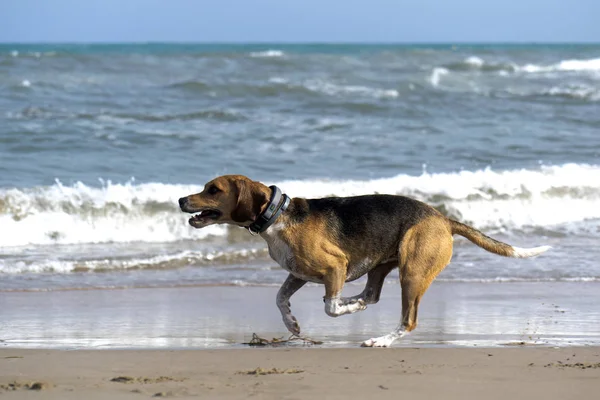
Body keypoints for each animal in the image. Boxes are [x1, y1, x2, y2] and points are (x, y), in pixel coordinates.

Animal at [177, 175, 548, 346]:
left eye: (213, 189)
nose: (181, 200)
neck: (277, 215)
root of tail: (442, 218)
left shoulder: (334, 266)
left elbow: (330, 307)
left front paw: (340, 308)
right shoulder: (299, 273)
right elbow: (280, 298)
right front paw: (292, 325)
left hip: (412, 272)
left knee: (408, 320)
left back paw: (379, 338)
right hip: (382, 264)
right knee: (372, 294)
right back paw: (357, 302)